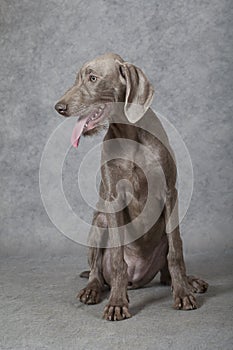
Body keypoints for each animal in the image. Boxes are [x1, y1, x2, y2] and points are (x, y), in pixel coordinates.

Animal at [55, 52, 209, 320]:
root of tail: (137, 280)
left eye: (92, 78)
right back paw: (92, 289)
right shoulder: (114, 198)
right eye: (77, 79)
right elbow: (118, 259)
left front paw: (183, 293)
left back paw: (190, 282)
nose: (59, 108)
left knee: (166, 271)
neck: (129, 133)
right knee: (96, 271)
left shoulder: (170, 193)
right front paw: (117, 303)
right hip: (99, 224)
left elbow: (176, 252)